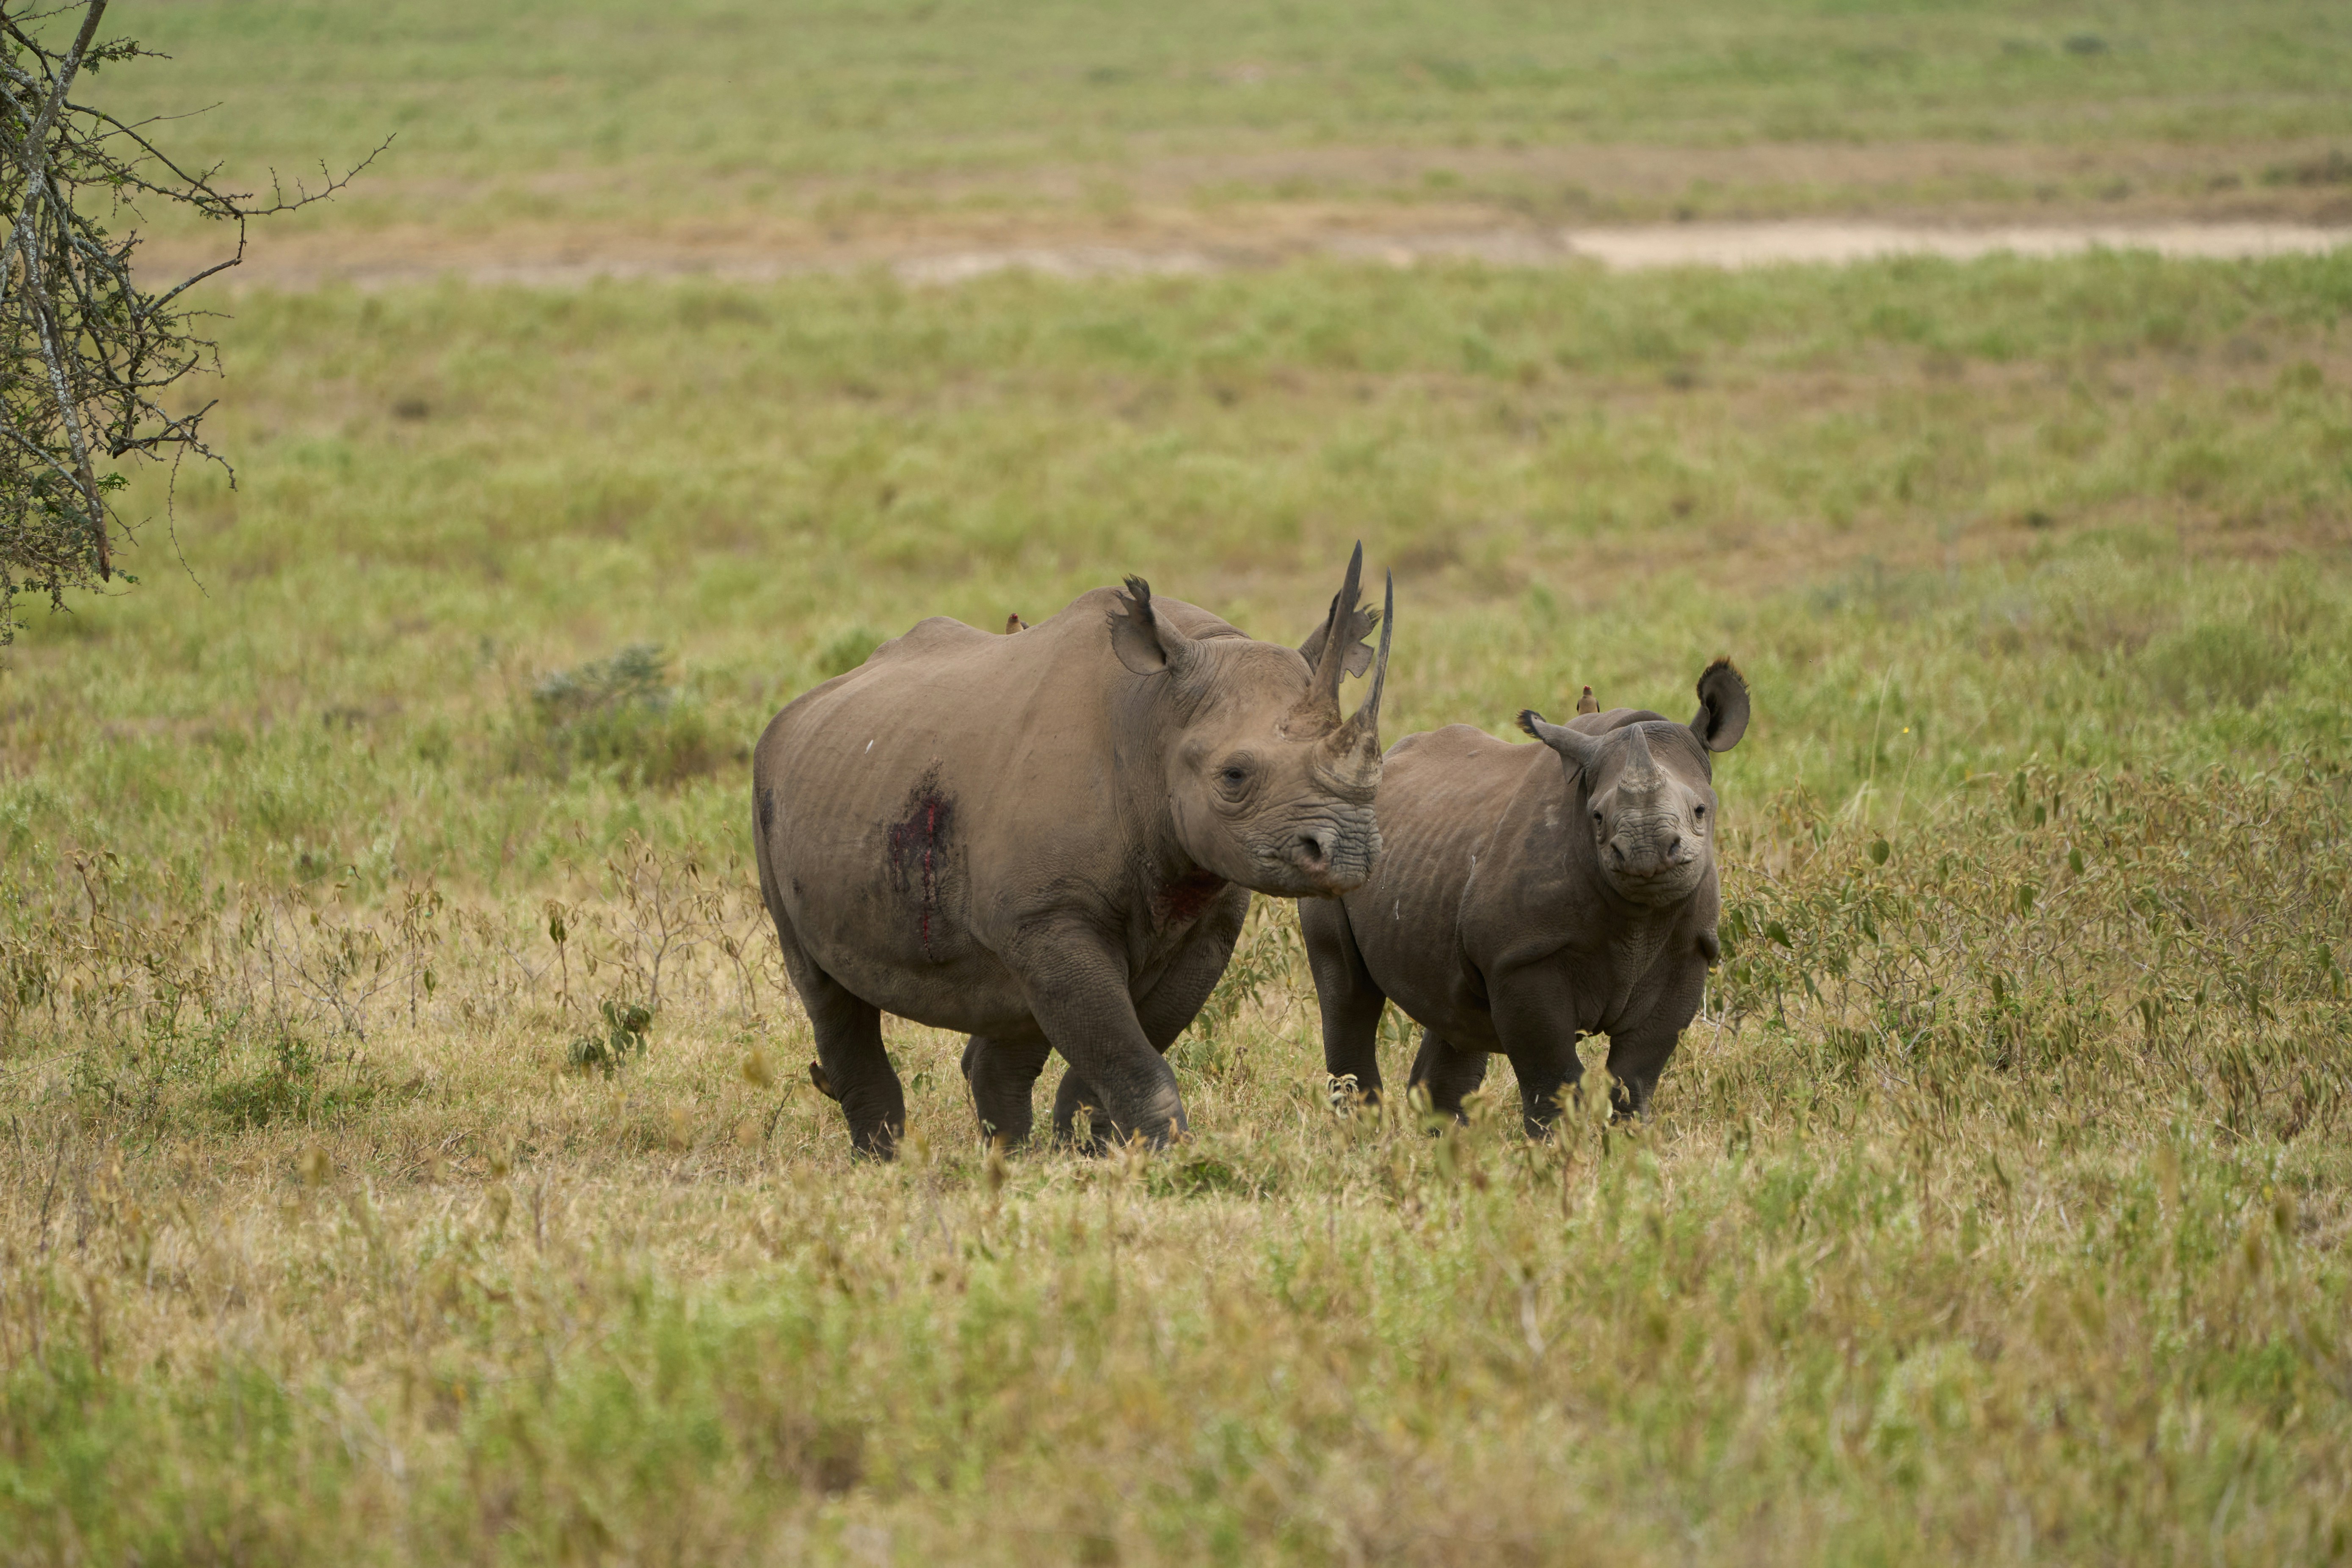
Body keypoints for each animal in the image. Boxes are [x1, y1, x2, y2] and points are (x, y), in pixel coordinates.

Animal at [753, 548, 1394, 1156]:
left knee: (1009, 1003)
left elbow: (1119, 1050)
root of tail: (799, 707)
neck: (1157, 718)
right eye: (1234, 776)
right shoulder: (1049, 915)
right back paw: (886, 1163)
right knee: (825, 989)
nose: (1350, 851)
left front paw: (1091, 1155)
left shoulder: (1202, 924)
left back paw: (1007, 1158)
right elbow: (1124, 1054)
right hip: (775, 786)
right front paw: (1169, 1159)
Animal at [1299, 660, 1749, 1132]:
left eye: (1700, 811)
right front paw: (1556, 1149)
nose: (1645, 852)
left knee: (1454, 1008)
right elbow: (1553, 1076)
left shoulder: (1690, 951)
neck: (1639, 918)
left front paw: (1628, 1142)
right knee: (1348, 992)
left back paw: (1448, 1142)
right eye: (1597, 817)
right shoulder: (1522, 957)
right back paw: (1362, 1136)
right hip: (1331, 843)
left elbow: (1635, 1074)